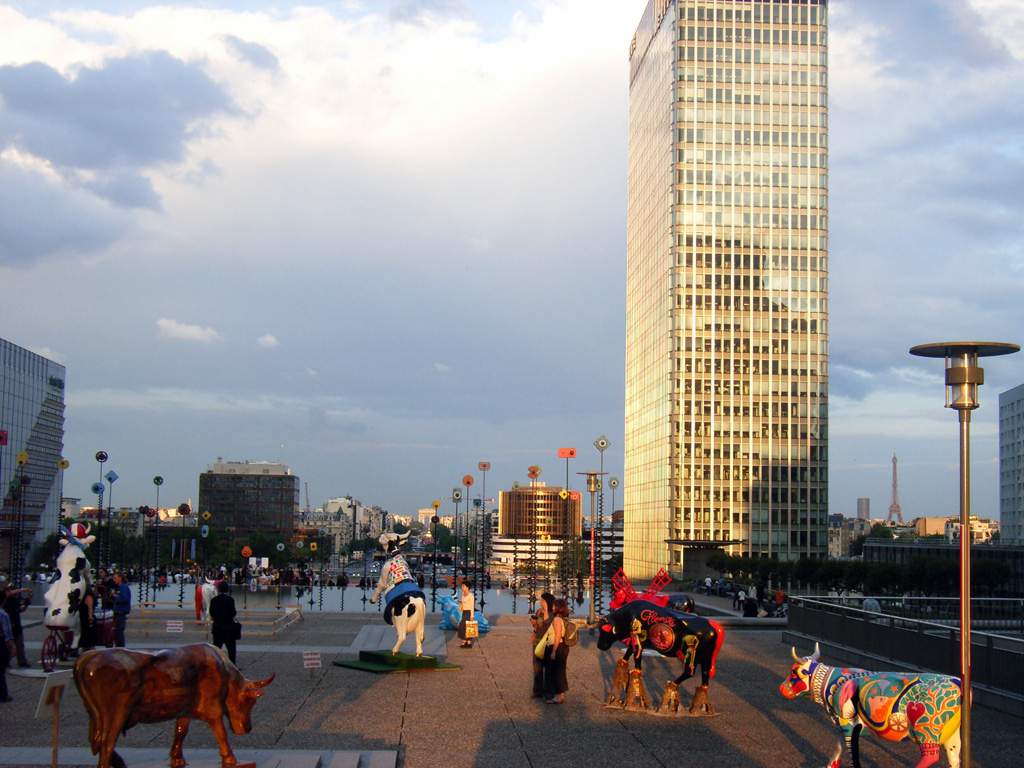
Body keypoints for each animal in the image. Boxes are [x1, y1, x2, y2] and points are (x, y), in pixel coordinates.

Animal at [782, 643, 958, 768]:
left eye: (793, 672)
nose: (781, 688)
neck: (829, 682)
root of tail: (957, 682)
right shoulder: (844, 726)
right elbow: (839, 747)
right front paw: (830, 765)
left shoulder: (848, 723)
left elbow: (851, 751)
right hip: (951, 733)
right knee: (954, 757)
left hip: (927, 728)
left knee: (931, 756)